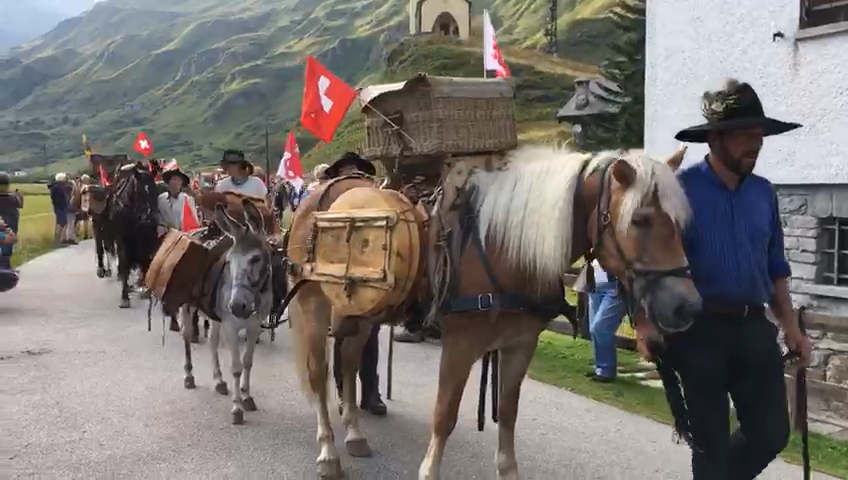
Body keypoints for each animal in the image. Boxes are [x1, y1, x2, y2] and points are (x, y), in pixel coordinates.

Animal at [109, 162, 161, 308]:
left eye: (156, 190)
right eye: (140, 191)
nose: (150, 218)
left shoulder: (145, 239)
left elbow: (144, 259)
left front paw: (145, 289)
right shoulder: (122, 240)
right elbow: (124, 262)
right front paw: (124, 297)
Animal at [177, 200, 273, 425]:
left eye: (256, 259)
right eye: (229, 261)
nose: (237, 306)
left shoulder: (254, 326)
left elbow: (248, 362)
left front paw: (247, 397)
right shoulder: (231, 326)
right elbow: (236, 367)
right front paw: (237, 409)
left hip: (215, 316)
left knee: (212, 342)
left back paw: (219, 381)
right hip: (188, 307)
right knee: (186, 336)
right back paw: (189, 376)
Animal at [286, 147, 701, 479]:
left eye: (680, 222)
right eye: (640, 219)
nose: (688, 305)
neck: (505, 249)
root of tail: (318, 195)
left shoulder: (519, 344)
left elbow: (508, 411)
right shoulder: (460, 344)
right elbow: (445, 415)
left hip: (362, 314)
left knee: (349, 363)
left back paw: (355, 434)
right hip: (314, 305)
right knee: (319, 374)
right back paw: (328, 452)